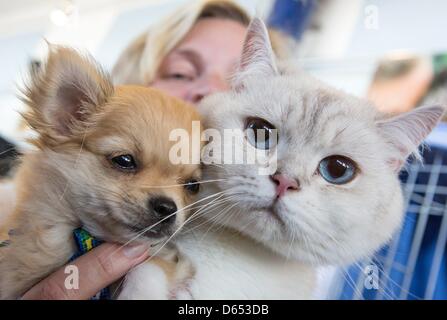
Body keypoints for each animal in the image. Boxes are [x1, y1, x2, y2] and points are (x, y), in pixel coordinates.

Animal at [0, 46, 201, 298]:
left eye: (193, 186)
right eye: (124, 160)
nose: (167, 208)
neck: (90, 240)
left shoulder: (160, 256)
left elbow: (147, 269)